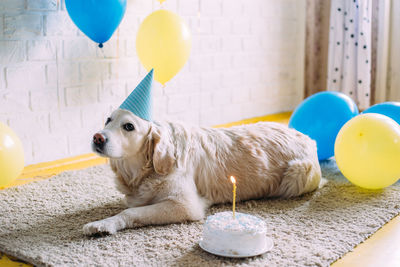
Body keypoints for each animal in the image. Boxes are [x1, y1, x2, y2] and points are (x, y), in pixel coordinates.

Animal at [82, 108, 322, 236]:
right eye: (108, 120)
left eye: (129, 126)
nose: (97, 137)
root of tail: (309, 138)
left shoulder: (185, 205)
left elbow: (130, 212)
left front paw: (103, 224)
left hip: (297, 174)